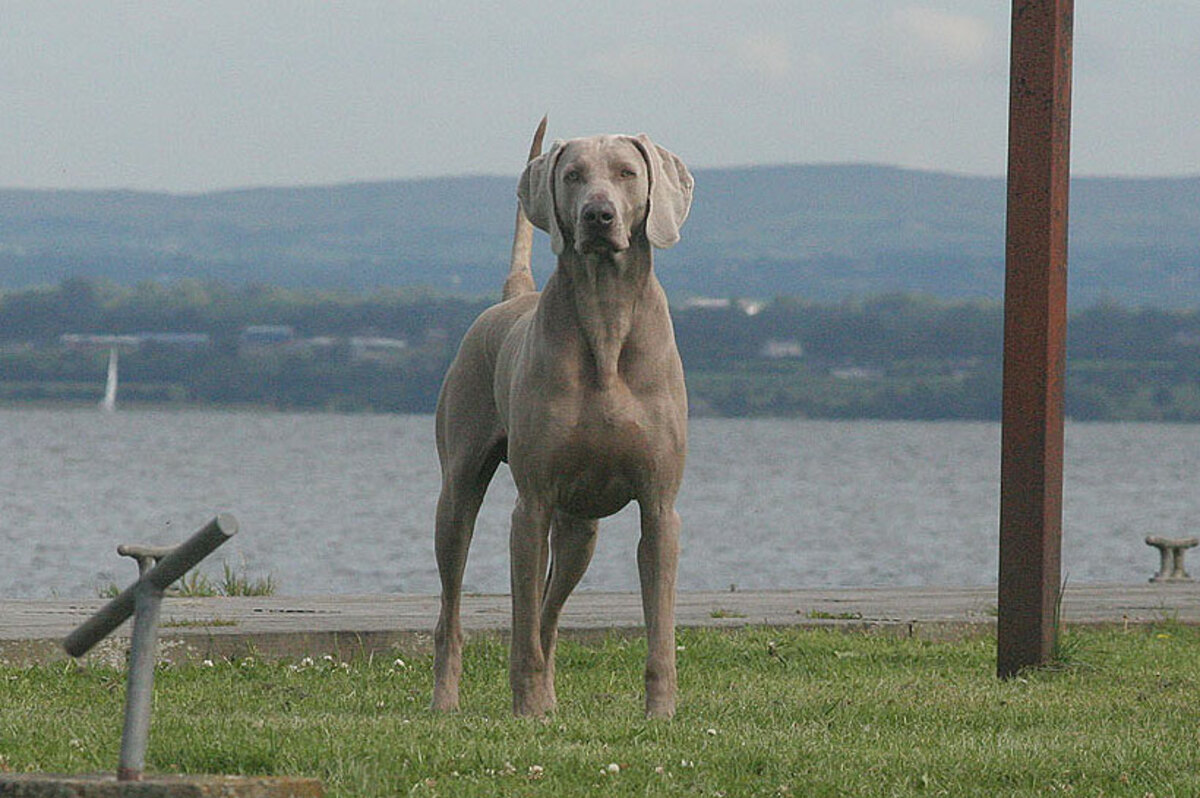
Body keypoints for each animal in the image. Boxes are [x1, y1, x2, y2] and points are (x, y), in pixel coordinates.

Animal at [432, 121, 696, 720]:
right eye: (573, 175)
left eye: (627, 172)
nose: (598, 216)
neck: (606, 317)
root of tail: (515, 296)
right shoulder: (531, 505)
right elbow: (521, 625)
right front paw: (526, 708)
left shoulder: (660, 508)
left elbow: (660, 631)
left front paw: (661, 712)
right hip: (457, 495)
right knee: (454, 611)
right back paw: (447, 701)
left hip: (580, 530)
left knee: (551, 613)